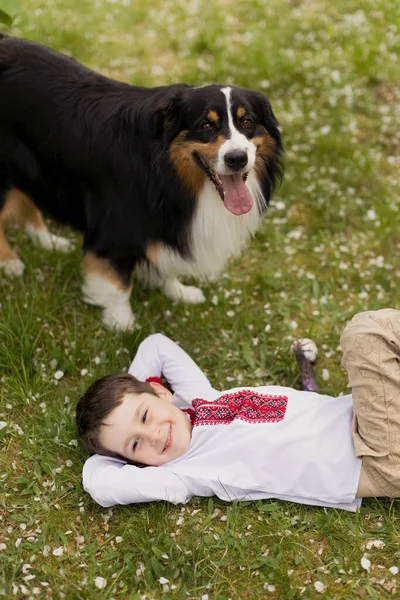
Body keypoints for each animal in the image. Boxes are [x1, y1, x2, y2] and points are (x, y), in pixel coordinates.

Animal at [0, 35, 282, 330]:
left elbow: (166, 263)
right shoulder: (114, 227)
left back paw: (48, 241)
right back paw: (10, 263)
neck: (165, 172)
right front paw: (122, 324)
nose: (237, 158)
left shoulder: (166, 223)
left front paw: (178, 291)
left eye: (247, 121)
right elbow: (118, 284)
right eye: (206, 126)